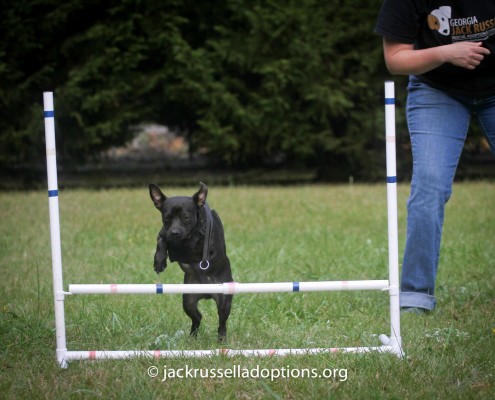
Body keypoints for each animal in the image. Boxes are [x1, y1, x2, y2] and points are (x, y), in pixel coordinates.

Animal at [148, 183, 233, 342]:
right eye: (167, 218)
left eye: (186, 217)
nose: (175, 232)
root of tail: (206, 294)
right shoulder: (164, 233)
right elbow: (162, 240)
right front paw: (159, 261)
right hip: (189, 301)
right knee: (197, 317)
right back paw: (193, 336)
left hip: (224, 302)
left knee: (222, 322)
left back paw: (221, 339)